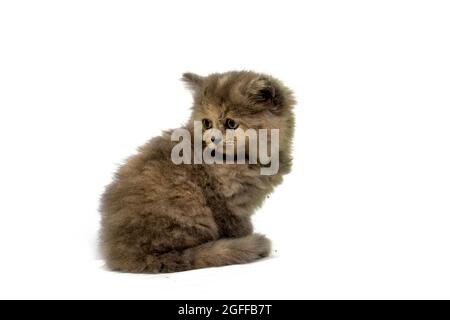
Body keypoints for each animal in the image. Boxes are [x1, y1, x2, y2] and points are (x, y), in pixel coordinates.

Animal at [100, 70, 296, 272]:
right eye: (207, 123)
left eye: (231, 123)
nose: (213, 139)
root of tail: (125, 256)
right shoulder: (223, 201)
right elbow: (235, 225)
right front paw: (244, 238)